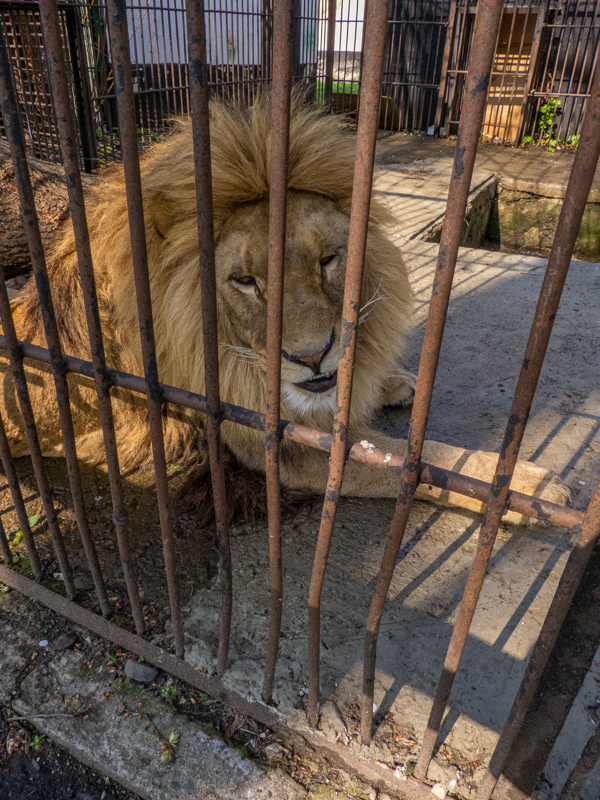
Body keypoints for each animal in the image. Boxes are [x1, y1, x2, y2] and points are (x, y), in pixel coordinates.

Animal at [1, 97, 569, 525]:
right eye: (245, 282)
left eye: (328, 260)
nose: (313, 357)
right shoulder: (266, 443)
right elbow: (407, 462)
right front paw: (524, 489)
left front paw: (388, 382)